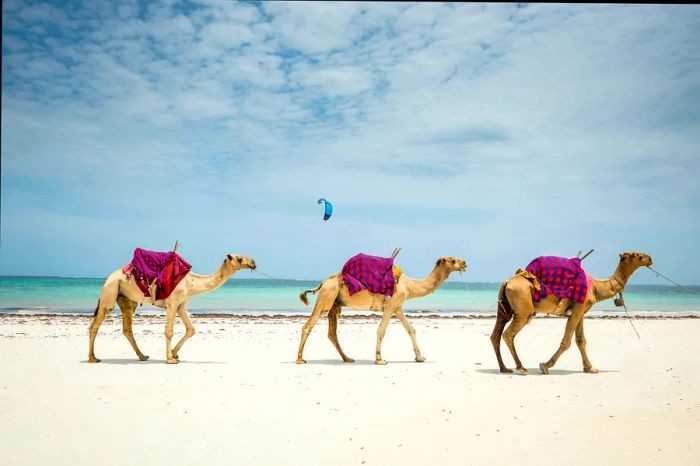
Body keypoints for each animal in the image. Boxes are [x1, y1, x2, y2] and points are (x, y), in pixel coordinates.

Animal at [87, 255, 258, 364]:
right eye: (239, 258)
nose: (253, 262)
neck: (191, 282)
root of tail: (108, 278)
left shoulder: (181, 305)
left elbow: (191, 329)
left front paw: (175, 354)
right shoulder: (172, 303)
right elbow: (169, 331)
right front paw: (170, 359)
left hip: (127, 300)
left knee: (127, 328)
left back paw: (142, 356)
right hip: (110, 291)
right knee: (95, 324)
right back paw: (93, 358)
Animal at [294, 256, 464, 366]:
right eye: (452, 260)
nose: (465, 263)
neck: (409, 285)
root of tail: (323, 282)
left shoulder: (398, 307)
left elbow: (411, 330)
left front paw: (420, 357)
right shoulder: (390, 306)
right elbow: (381, 331)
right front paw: (380, 359)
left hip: (335, 303)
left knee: (332, 333)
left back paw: (347, 358)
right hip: (327, 297)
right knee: (308, 326)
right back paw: (300, 359)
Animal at [492, 251, 652, 374]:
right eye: (637, 255)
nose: (650, 258)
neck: (595, 286)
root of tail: (506, 282)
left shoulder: (581, 311)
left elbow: (581, 340)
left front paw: (590, 368)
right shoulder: (578, 309)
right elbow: (566, 341)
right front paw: (545, 366)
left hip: (505, 309)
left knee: (496, 335)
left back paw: (504, 368)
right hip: (523, 310)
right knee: (508, 334)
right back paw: (521, 367)